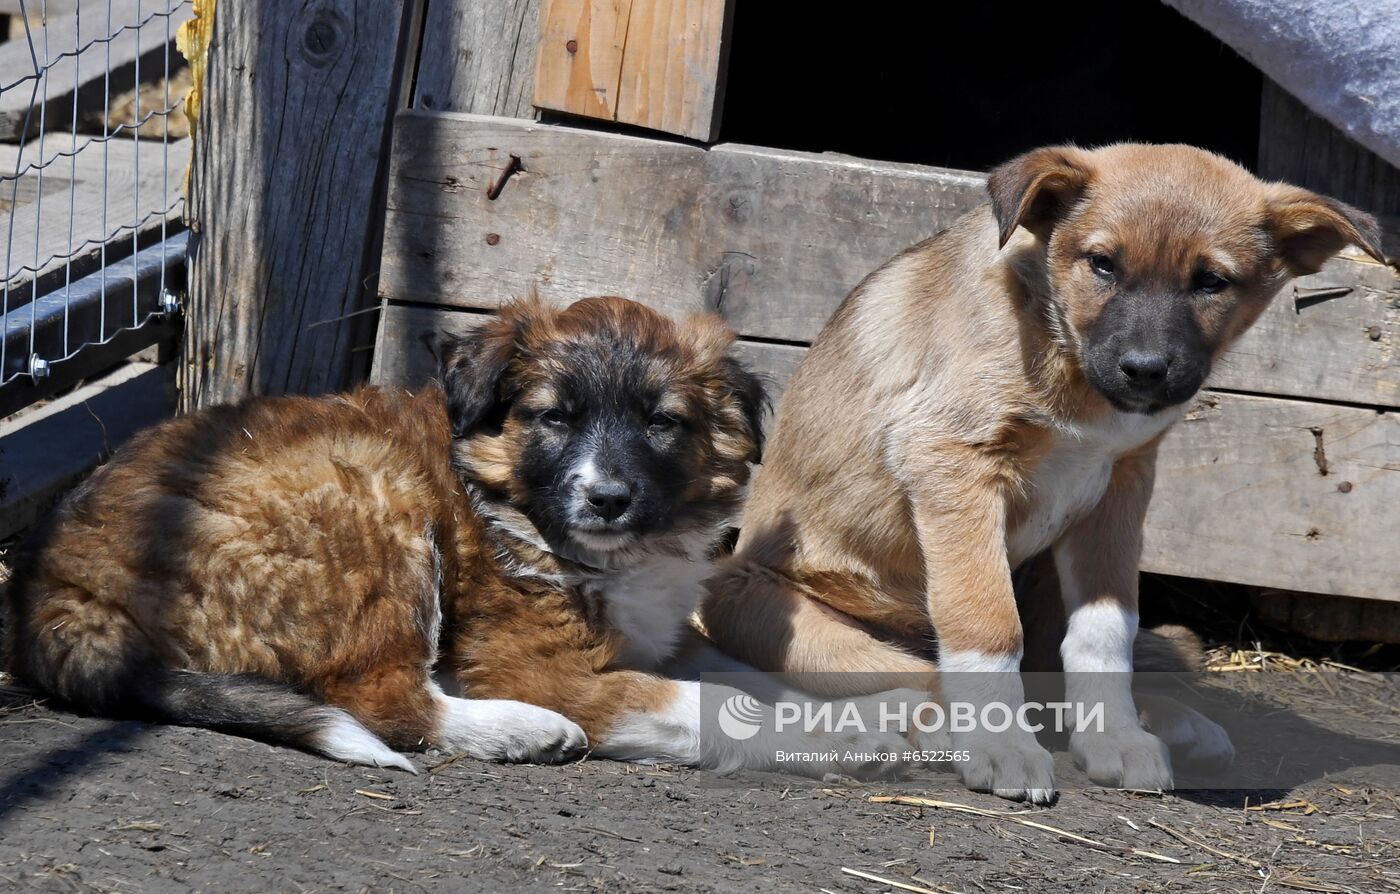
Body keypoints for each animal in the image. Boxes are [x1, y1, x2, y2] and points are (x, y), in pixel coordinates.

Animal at [5, 296, 907, 777]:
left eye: (661, 423)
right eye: (553, 418)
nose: (608, 498)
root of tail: (57, 587)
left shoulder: (664, 634)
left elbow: (744, 671)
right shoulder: (540, 664)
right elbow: (712, 703)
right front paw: (850, 733)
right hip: (375, 500)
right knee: (386, 701)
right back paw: (522, 731)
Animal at [705, 141, 1383, 805]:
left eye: (1212, 281)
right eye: (1102, 264)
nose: (1145, 370)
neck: (1065, 357)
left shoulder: (1120, 488)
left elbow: (1106, 630)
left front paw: (1115, 736)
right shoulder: (953, 461)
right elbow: (986, 621)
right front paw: (1000, 745)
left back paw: (1169, 722)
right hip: (763, 605)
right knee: (921, 677)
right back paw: (931, 725)